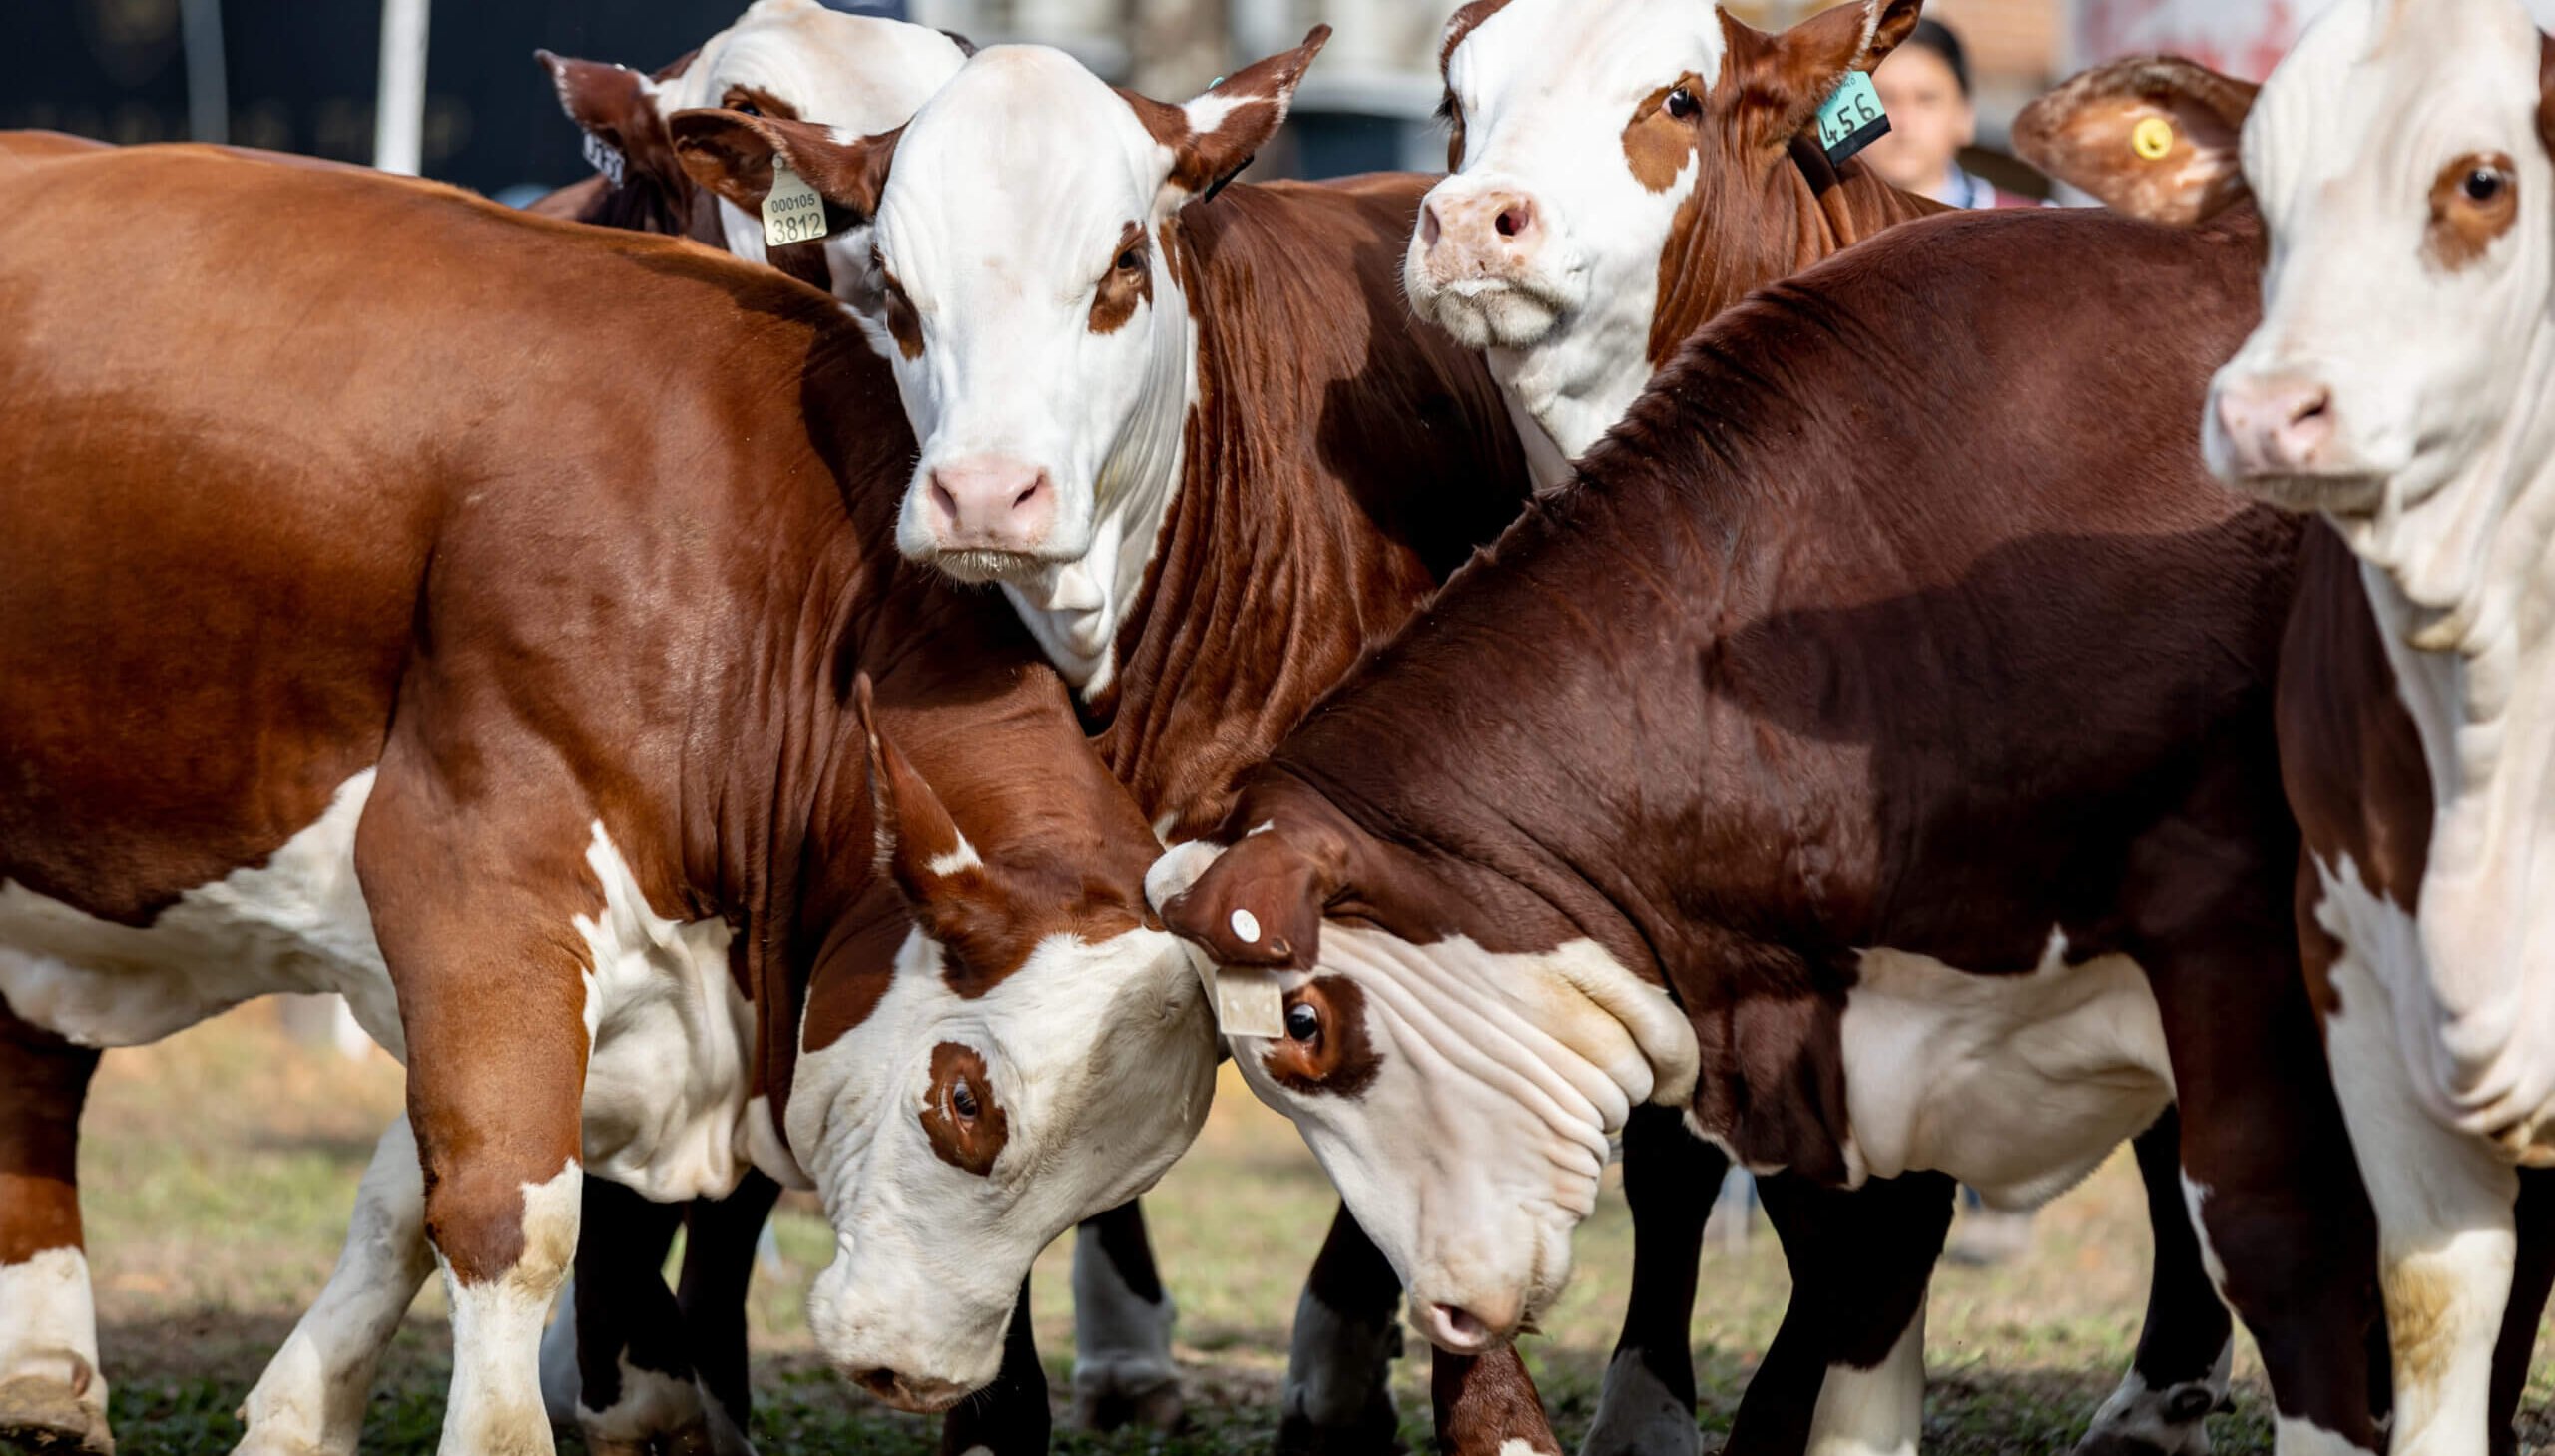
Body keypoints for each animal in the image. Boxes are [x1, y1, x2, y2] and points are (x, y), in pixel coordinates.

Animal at [0, 142, 1226, 1450]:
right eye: (964, 1098)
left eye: (1117, 1186)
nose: (921, 1375)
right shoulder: (475, 876)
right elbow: (508, 1211)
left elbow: (402, 1196)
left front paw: (300, 1413)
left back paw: (45, 1371)